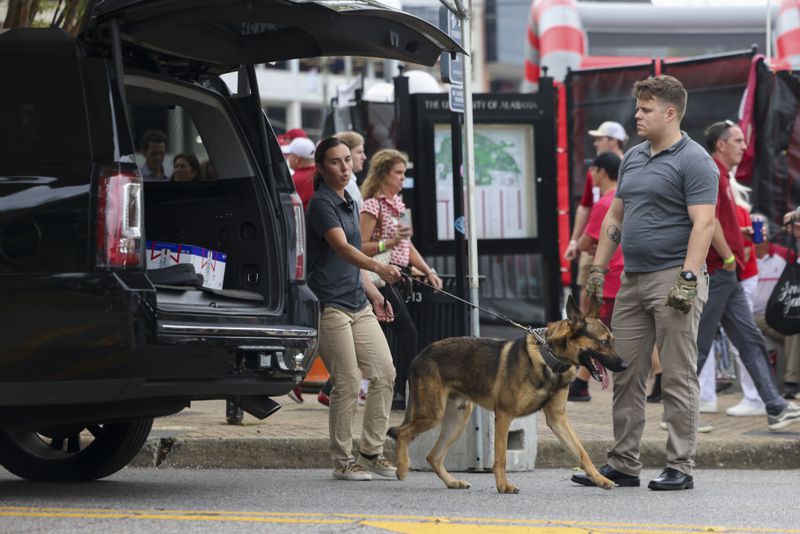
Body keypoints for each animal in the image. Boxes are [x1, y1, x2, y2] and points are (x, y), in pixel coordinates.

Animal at [390, 298, 628, 494]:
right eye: (604, 342)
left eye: (613, 340)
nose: (625, 365)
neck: (549, 356)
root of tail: (421, 353)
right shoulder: (504, 415)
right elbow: (501, 457)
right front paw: (503, 486)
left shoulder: (557, 419)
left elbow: (581, 451)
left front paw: (599, 479)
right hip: (432, 414)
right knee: (403, 433)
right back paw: (401, 469)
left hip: (456, 420)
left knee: (433, 456)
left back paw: (451, 482)